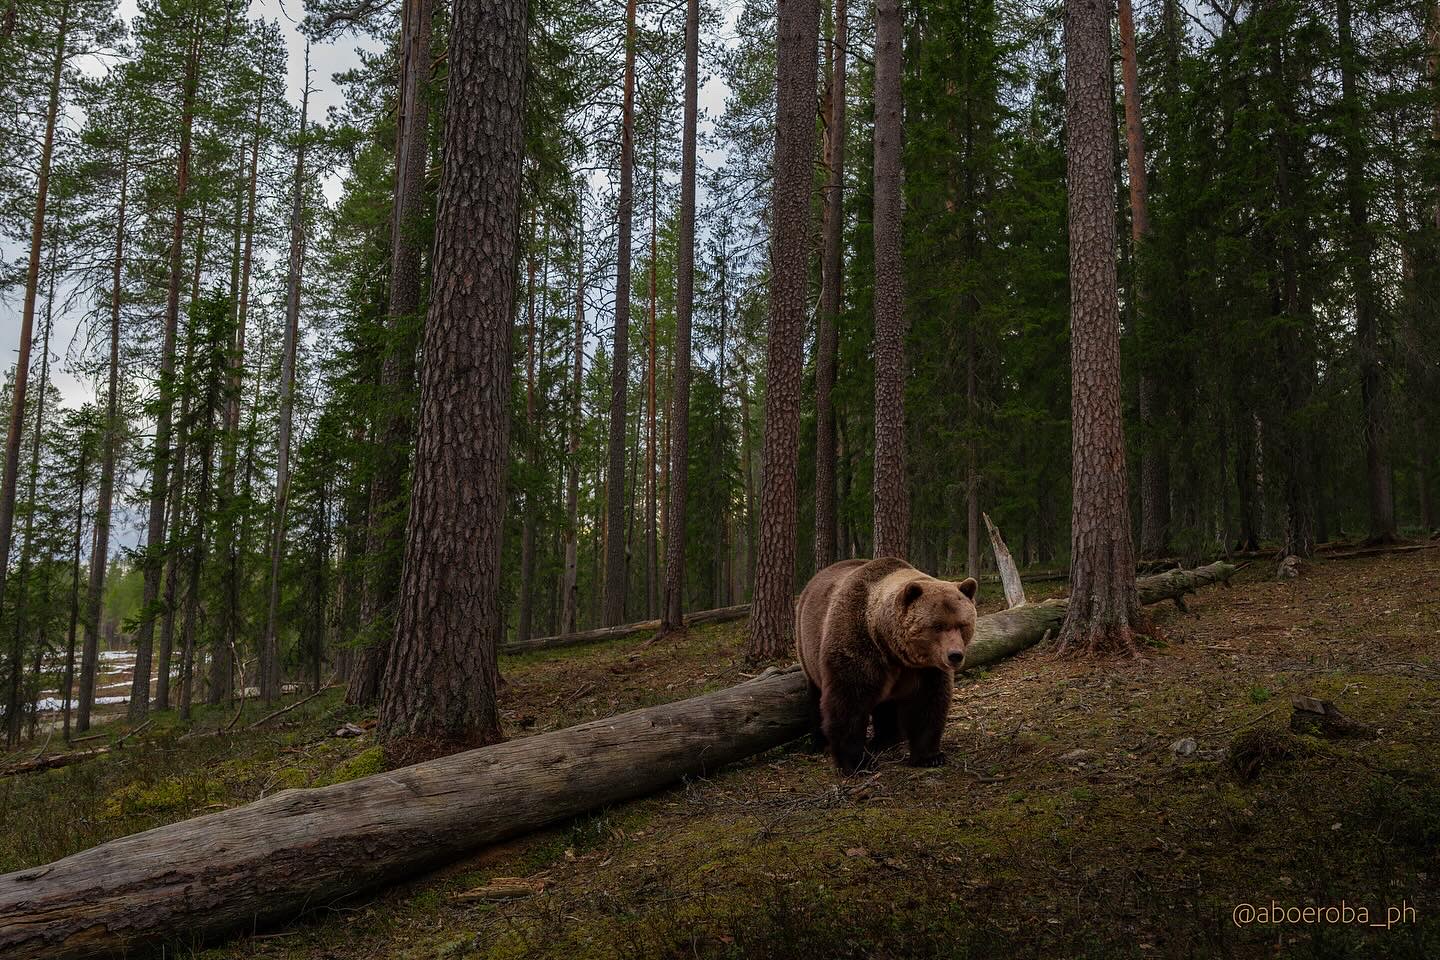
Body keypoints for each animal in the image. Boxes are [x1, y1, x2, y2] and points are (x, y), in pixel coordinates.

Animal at [795, 557, 978, 773]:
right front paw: (857, 762)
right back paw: (820, 742)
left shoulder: (926, 669)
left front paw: (930, 756)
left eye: (962, 624)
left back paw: (886, 739)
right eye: (937, 626)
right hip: (807, 649)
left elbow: (928, 703)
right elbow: (848, 702)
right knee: (816, 695)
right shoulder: (857, 645)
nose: (955, 655)